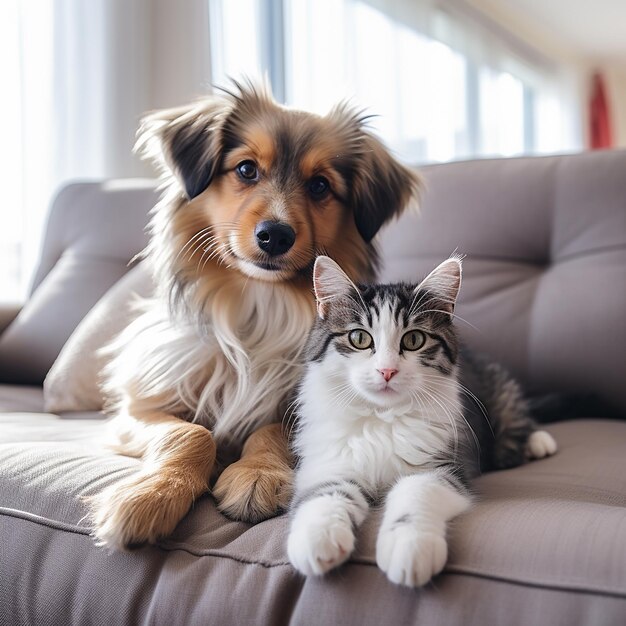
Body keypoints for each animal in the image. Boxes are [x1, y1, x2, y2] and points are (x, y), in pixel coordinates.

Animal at [89, 81, 420, 544]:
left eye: (320, 185)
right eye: (246, 169)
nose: (275, 235)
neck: (258, 307)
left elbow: (271, 429)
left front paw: (257, 475)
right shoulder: (138, 409)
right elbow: (191, 432)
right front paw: (151, 496)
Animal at [288, 254, 556, 584]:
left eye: (414, 339)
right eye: (359, 338)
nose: (387, 371)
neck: (383, 418)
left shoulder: (443, 465)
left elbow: (416, 493)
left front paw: (410, 548)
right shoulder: (328, 463)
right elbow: (324, 495)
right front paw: (317, 539)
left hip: (504, 401)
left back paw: (539, 441)